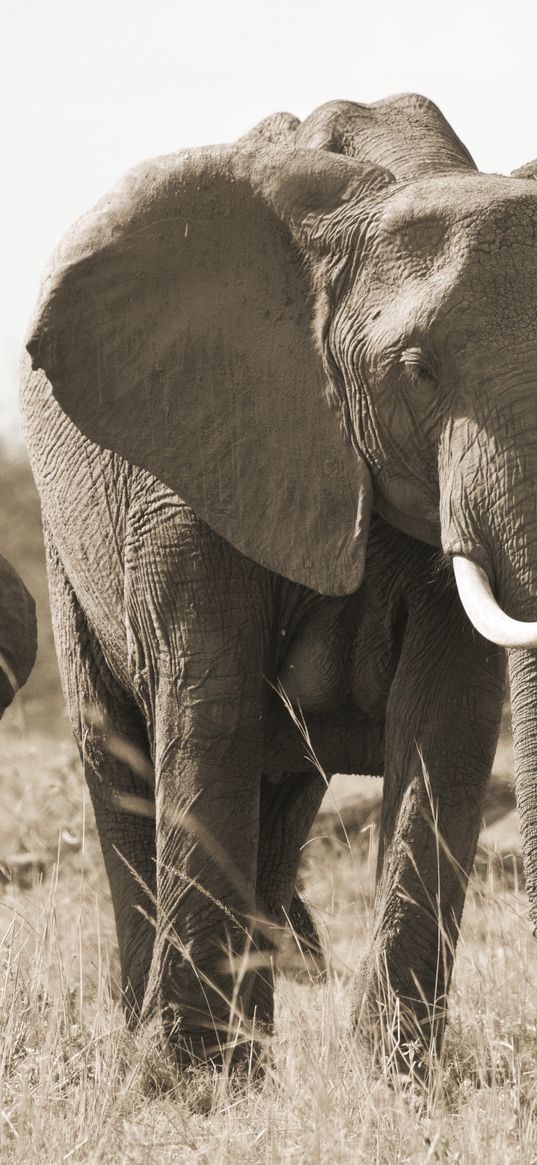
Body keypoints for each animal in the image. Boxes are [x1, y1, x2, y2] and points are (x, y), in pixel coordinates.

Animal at [19, 95, 537, 1067]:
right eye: (417, 372)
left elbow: (445, 716)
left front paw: (396, 1075)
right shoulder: (192, 463)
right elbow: (210, 705)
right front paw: (186, 1079)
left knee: (283, 793)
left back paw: (248, 1052)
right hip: (64, 547)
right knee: (121, 753)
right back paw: (164, 1040)